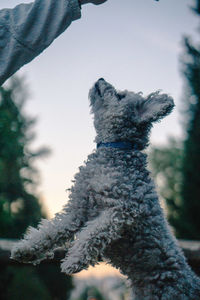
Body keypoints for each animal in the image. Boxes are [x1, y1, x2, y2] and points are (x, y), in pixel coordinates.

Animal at [11, 78, 200, 298]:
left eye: (120, 95)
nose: (100, 79)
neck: (116, 149)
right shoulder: (76, 212)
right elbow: (49, 231)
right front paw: (26, 250)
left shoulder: (124, 209)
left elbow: (93, 234)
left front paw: (73, 261)